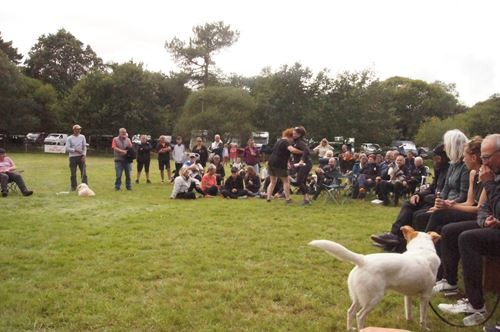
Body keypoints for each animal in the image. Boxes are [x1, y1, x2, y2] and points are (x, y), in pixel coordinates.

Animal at [308, 224, 442, 330]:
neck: (422, 249)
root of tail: (363, 260)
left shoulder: (407, 295)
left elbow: (408, 312)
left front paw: (410, 323)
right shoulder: (425, 296)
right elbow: (423, 317)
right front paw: (424, 328)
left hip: (358, 297)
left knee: (350, 312)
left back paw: (350, 328)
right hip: (373, 298)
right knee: (359, 316)